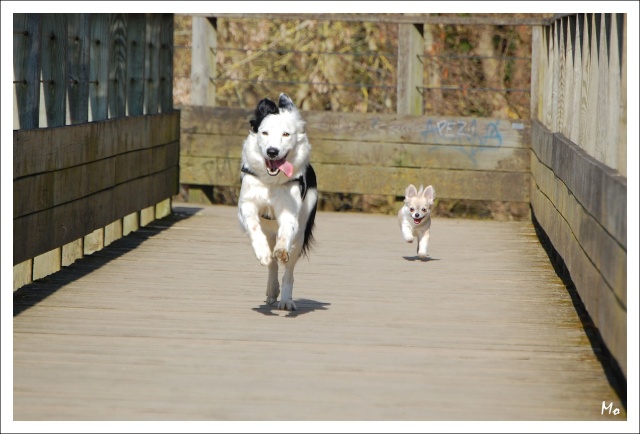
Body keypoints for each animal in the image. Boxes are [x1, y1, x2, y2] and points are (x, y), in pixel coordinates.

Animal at [238, 91, 318, 310]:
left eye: (286, 134)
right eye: (264, 133)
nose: (272, 151)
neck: (271, 181)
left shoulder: (290, 212)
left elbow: (285, 235)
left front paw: (281, 250)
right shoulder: (246, 204)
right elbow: (253, 226)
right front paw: (262, 253)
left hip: (300, 235)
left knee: (289, 270)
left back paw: (285, 300)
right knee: (273, 265)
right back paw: (272, 290)